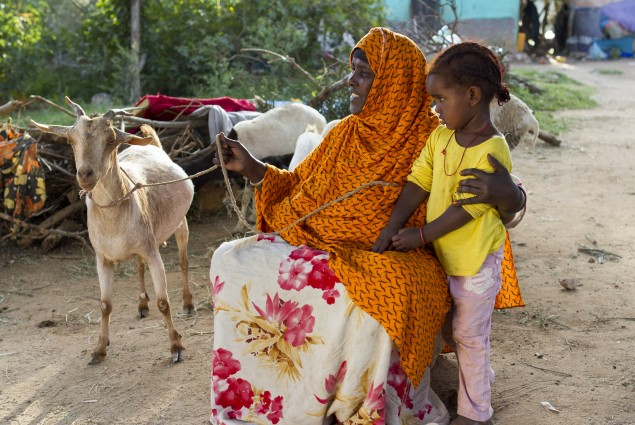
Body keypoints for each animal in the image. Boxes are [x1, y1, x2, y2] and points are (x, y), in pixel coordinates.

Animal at [31, 97, 194, 364]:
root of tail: (154, 146)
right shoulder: (103, 258)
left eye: (110, 140)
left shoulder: (152, 252)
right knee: (138, 267)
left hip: (180, 224)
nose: (85, 174)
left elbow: (164, 302)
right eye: (70, 140)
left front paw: (176, 347)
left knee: (183, 261)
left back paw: (188, 304)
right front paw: (99, 349)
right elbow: (105, 305)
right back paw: (142, 305)